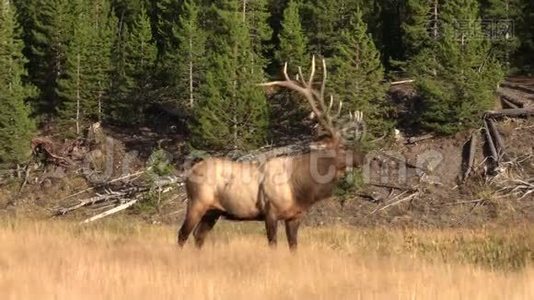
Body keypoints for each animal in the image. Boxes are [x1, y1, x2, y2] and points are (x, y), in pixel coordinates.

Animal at [178, 56, 366, 251]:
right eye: (343, 147)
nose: (363, 157)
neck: (300, 189)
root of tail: (188, 173)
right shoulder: (270, 211)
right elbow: (273, 244)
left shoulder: (295, 216)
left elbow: (293, 246)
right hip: (197, 202)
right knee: (183, 234)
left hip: (213, 211)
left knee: (199, 236)